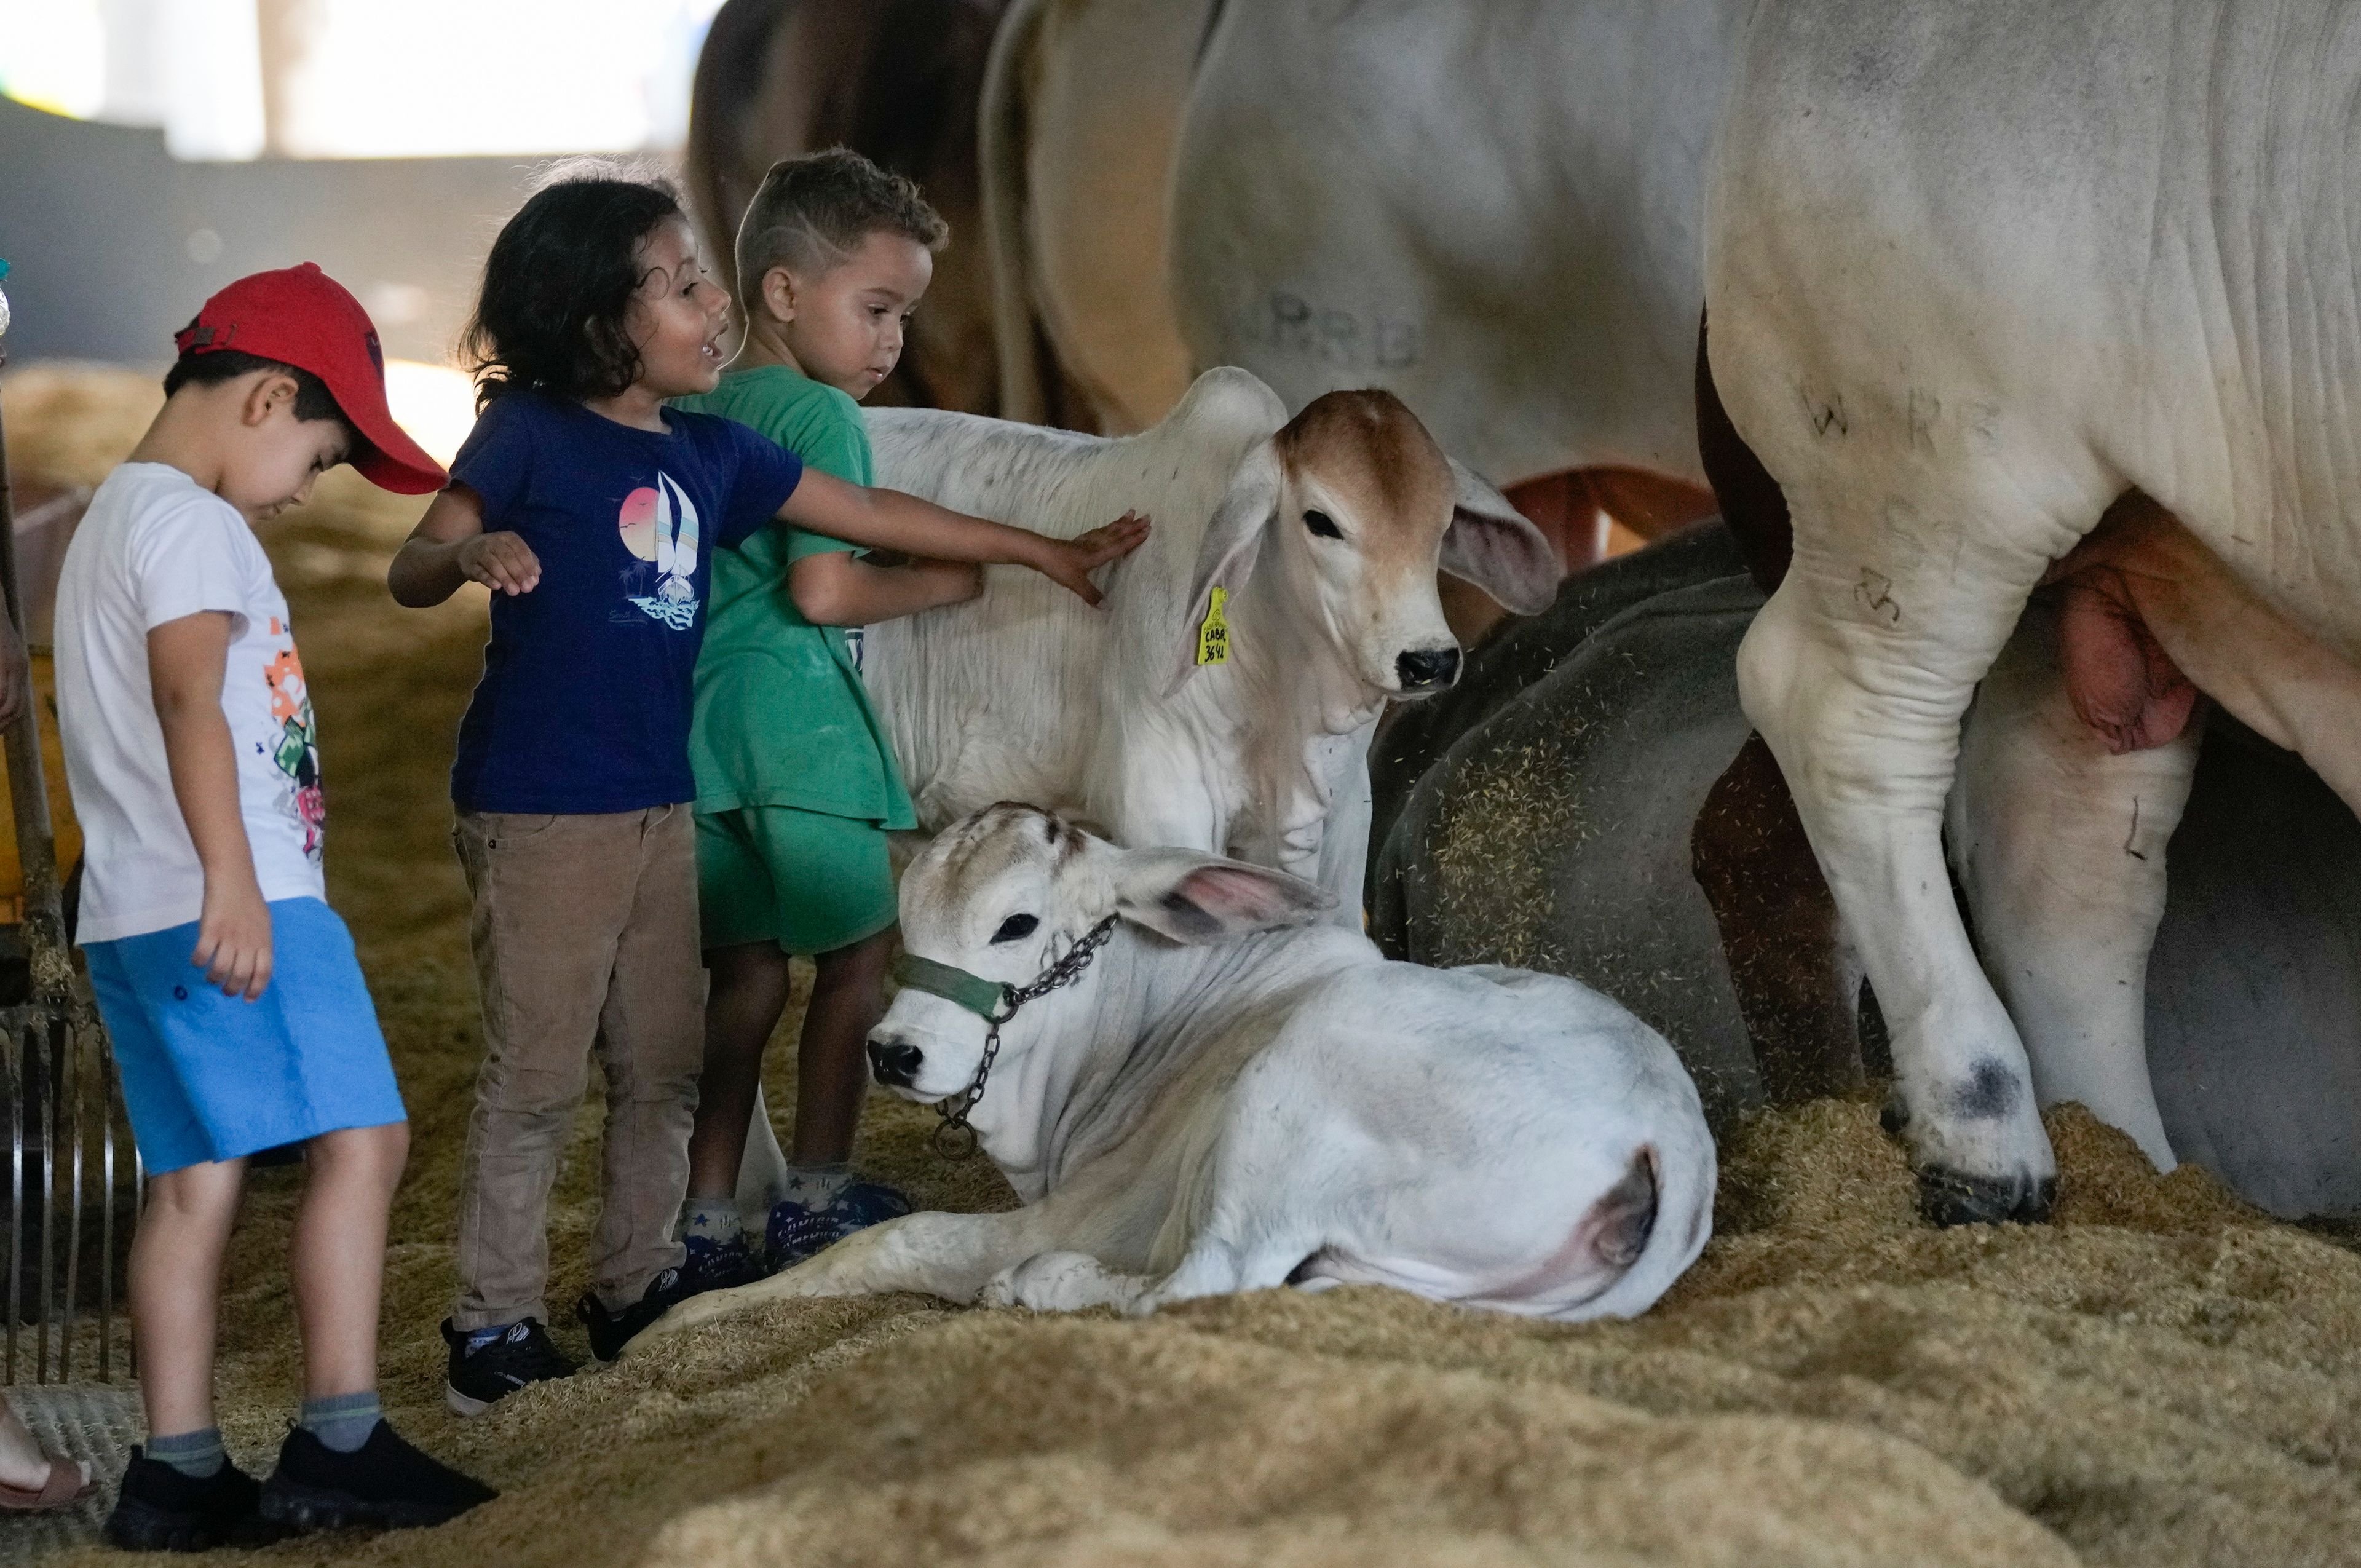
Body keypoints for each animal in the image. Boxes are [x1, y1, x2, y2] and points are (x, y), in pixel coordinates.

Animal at [647, 802, 1718, 1341]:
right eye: (906, 917)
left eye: (1017, 923)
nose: (893, 1049)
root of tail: (1667, 1123)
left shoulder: (1076, 1210)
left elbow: (886, 1243)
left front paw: (685, 1319)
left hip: (1296, 1093)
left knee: (1206, 1281)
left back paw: (1044, 1286)